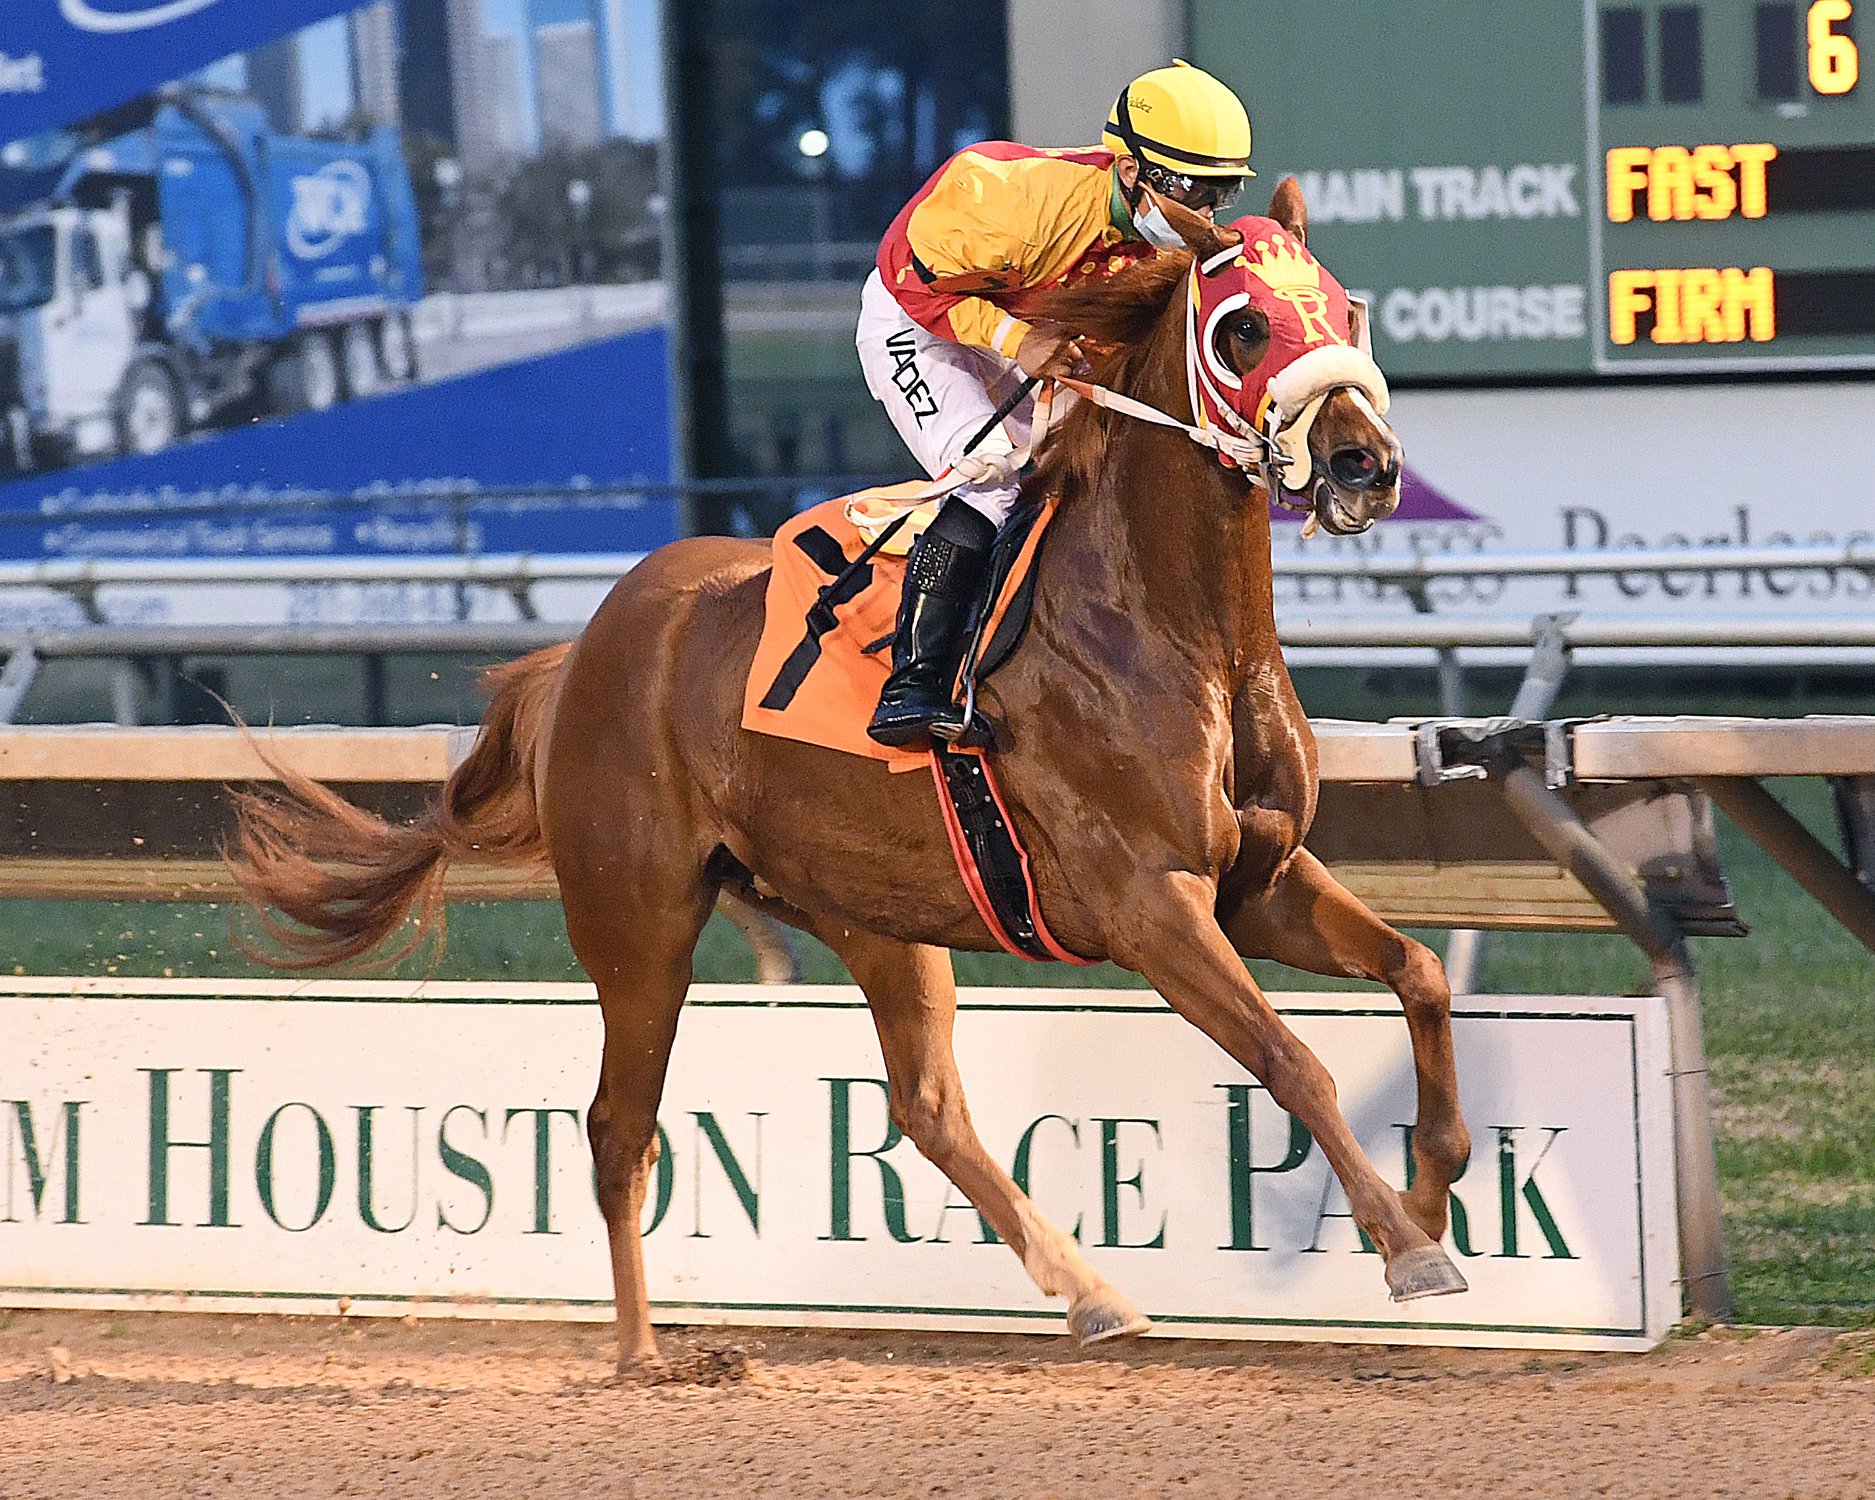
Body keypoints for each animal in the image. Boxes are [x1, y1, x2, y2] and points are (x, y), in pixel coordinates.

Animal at [228, 178, 1473, 1374]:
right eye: (1243, 325)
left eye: (1344, 306)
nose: (1368, 464)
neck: (1172, 625)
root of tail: (582, 649)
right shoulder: (1150, 905)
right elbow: (1291, 1058)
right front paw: (1406, 1247)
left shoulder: (1256, 879)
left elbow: (1417, 973)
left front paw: (1431, 1187)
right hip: (640, 925)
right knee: (618, 1129)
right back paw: (641, 1352)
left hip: (873, 910)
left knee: (925, 1107)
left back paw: (1094, 1296)